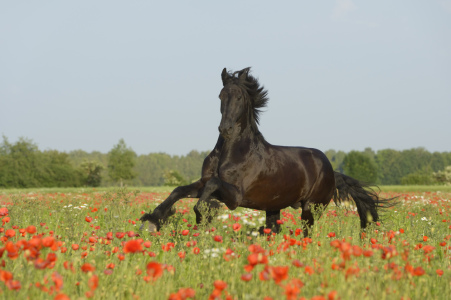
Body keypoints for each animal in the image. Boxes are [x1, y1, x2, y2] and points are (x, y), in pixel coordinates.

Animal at [141, 67, 396, 236]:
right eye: (221, 95)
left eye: (239, 96)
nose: (226, 129)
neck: (232, 152)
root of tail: (332, 171)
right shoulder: (203, 182)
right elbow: (179, 190)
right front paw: (153, 220)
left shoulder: (235, 195)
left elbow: (212, 187)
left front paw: (203, 212)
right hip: (274, 208)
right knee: (274, 231)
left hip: (311, 208)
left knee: (307, 233)